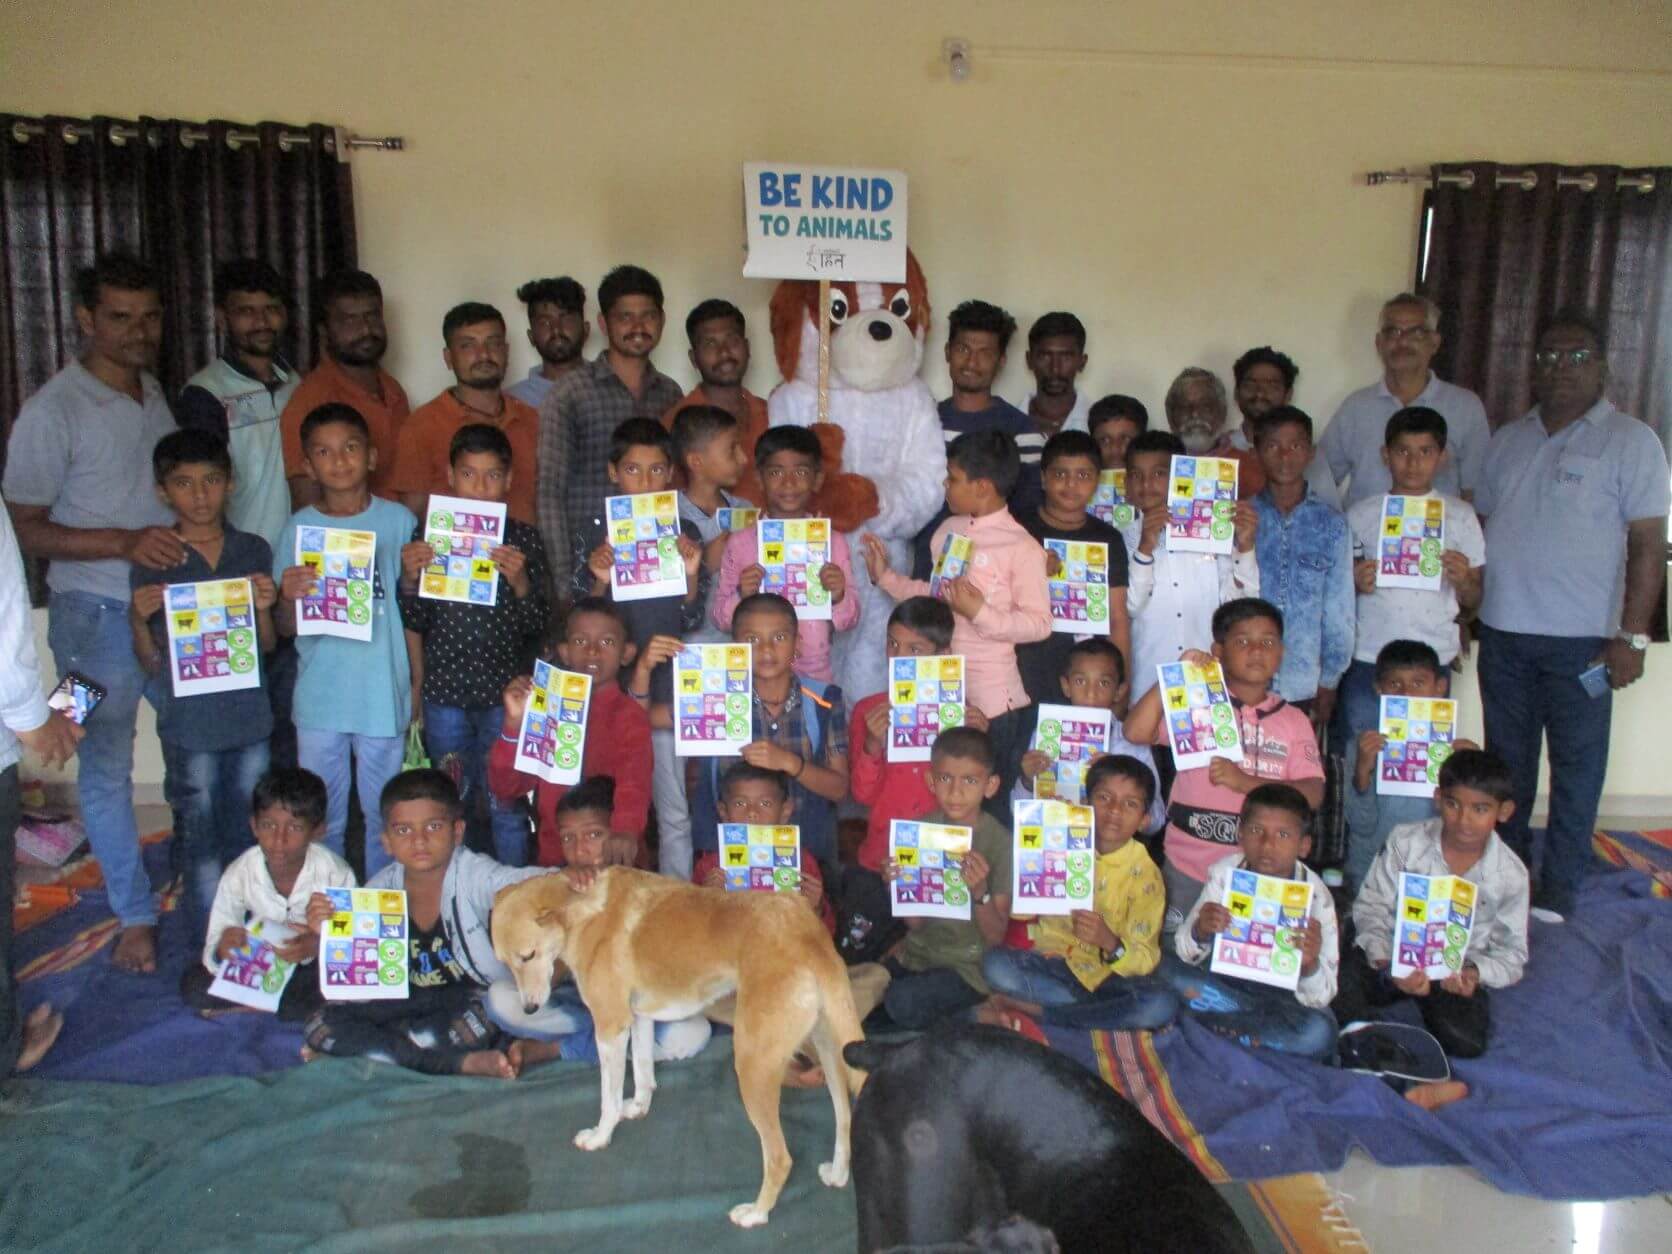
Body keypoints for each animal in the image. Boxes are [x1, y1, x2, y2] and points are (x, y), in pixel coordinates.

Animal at [491, 869, 862, 1230]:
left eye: (528, 955)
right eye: (506, 963)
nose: (529, 1009)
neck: (583, 912)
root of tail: (806, 933)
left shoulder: (610, 1026)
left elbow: (608, 1099)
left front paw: (600, 1136)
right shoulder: (638, 1017)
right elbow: (643, 1072)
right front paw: (638, 1107)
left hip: (753, 1065)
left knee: (780, 1157)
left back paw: (756, 1214)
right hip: (831, 1052)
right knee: (844, 1118)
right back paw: (837, 1174)